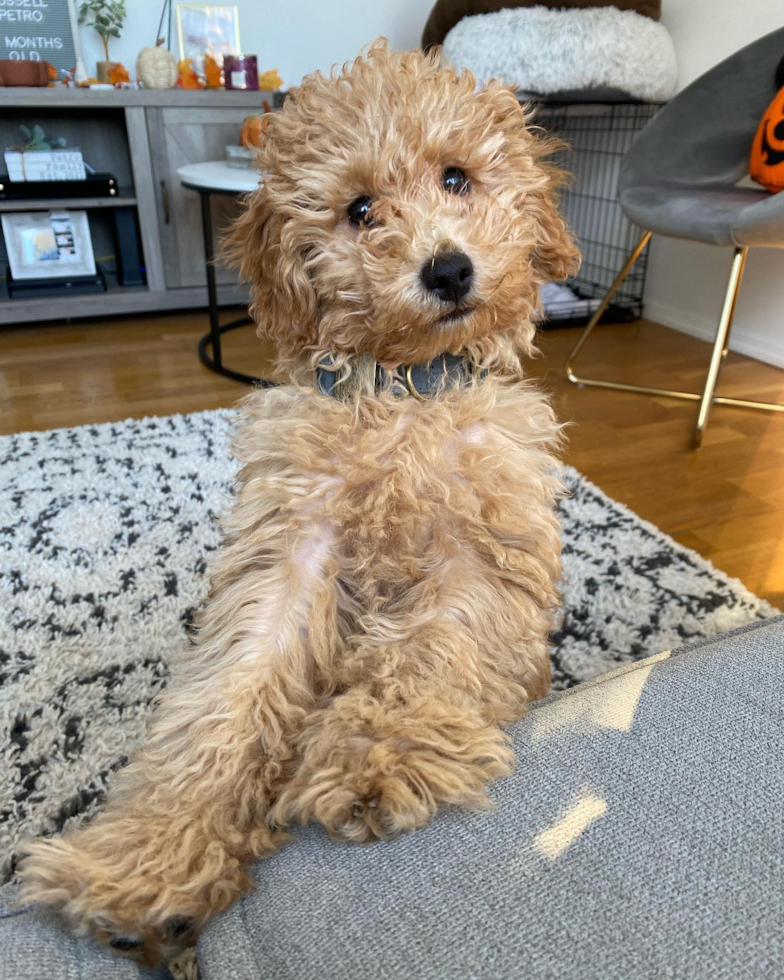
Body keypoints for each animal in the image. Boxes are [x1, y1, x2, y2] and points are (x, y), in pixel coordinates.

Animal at [21, 40, 580, 964]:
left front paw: (377, 756)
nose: (448, 269)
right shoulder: (289, 550)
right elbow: (227, 693)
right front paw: (145, 859)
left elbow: (435, 645)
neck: (403, 394)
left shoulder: (479, 549)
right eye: (360, 209)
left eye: (457, 177)